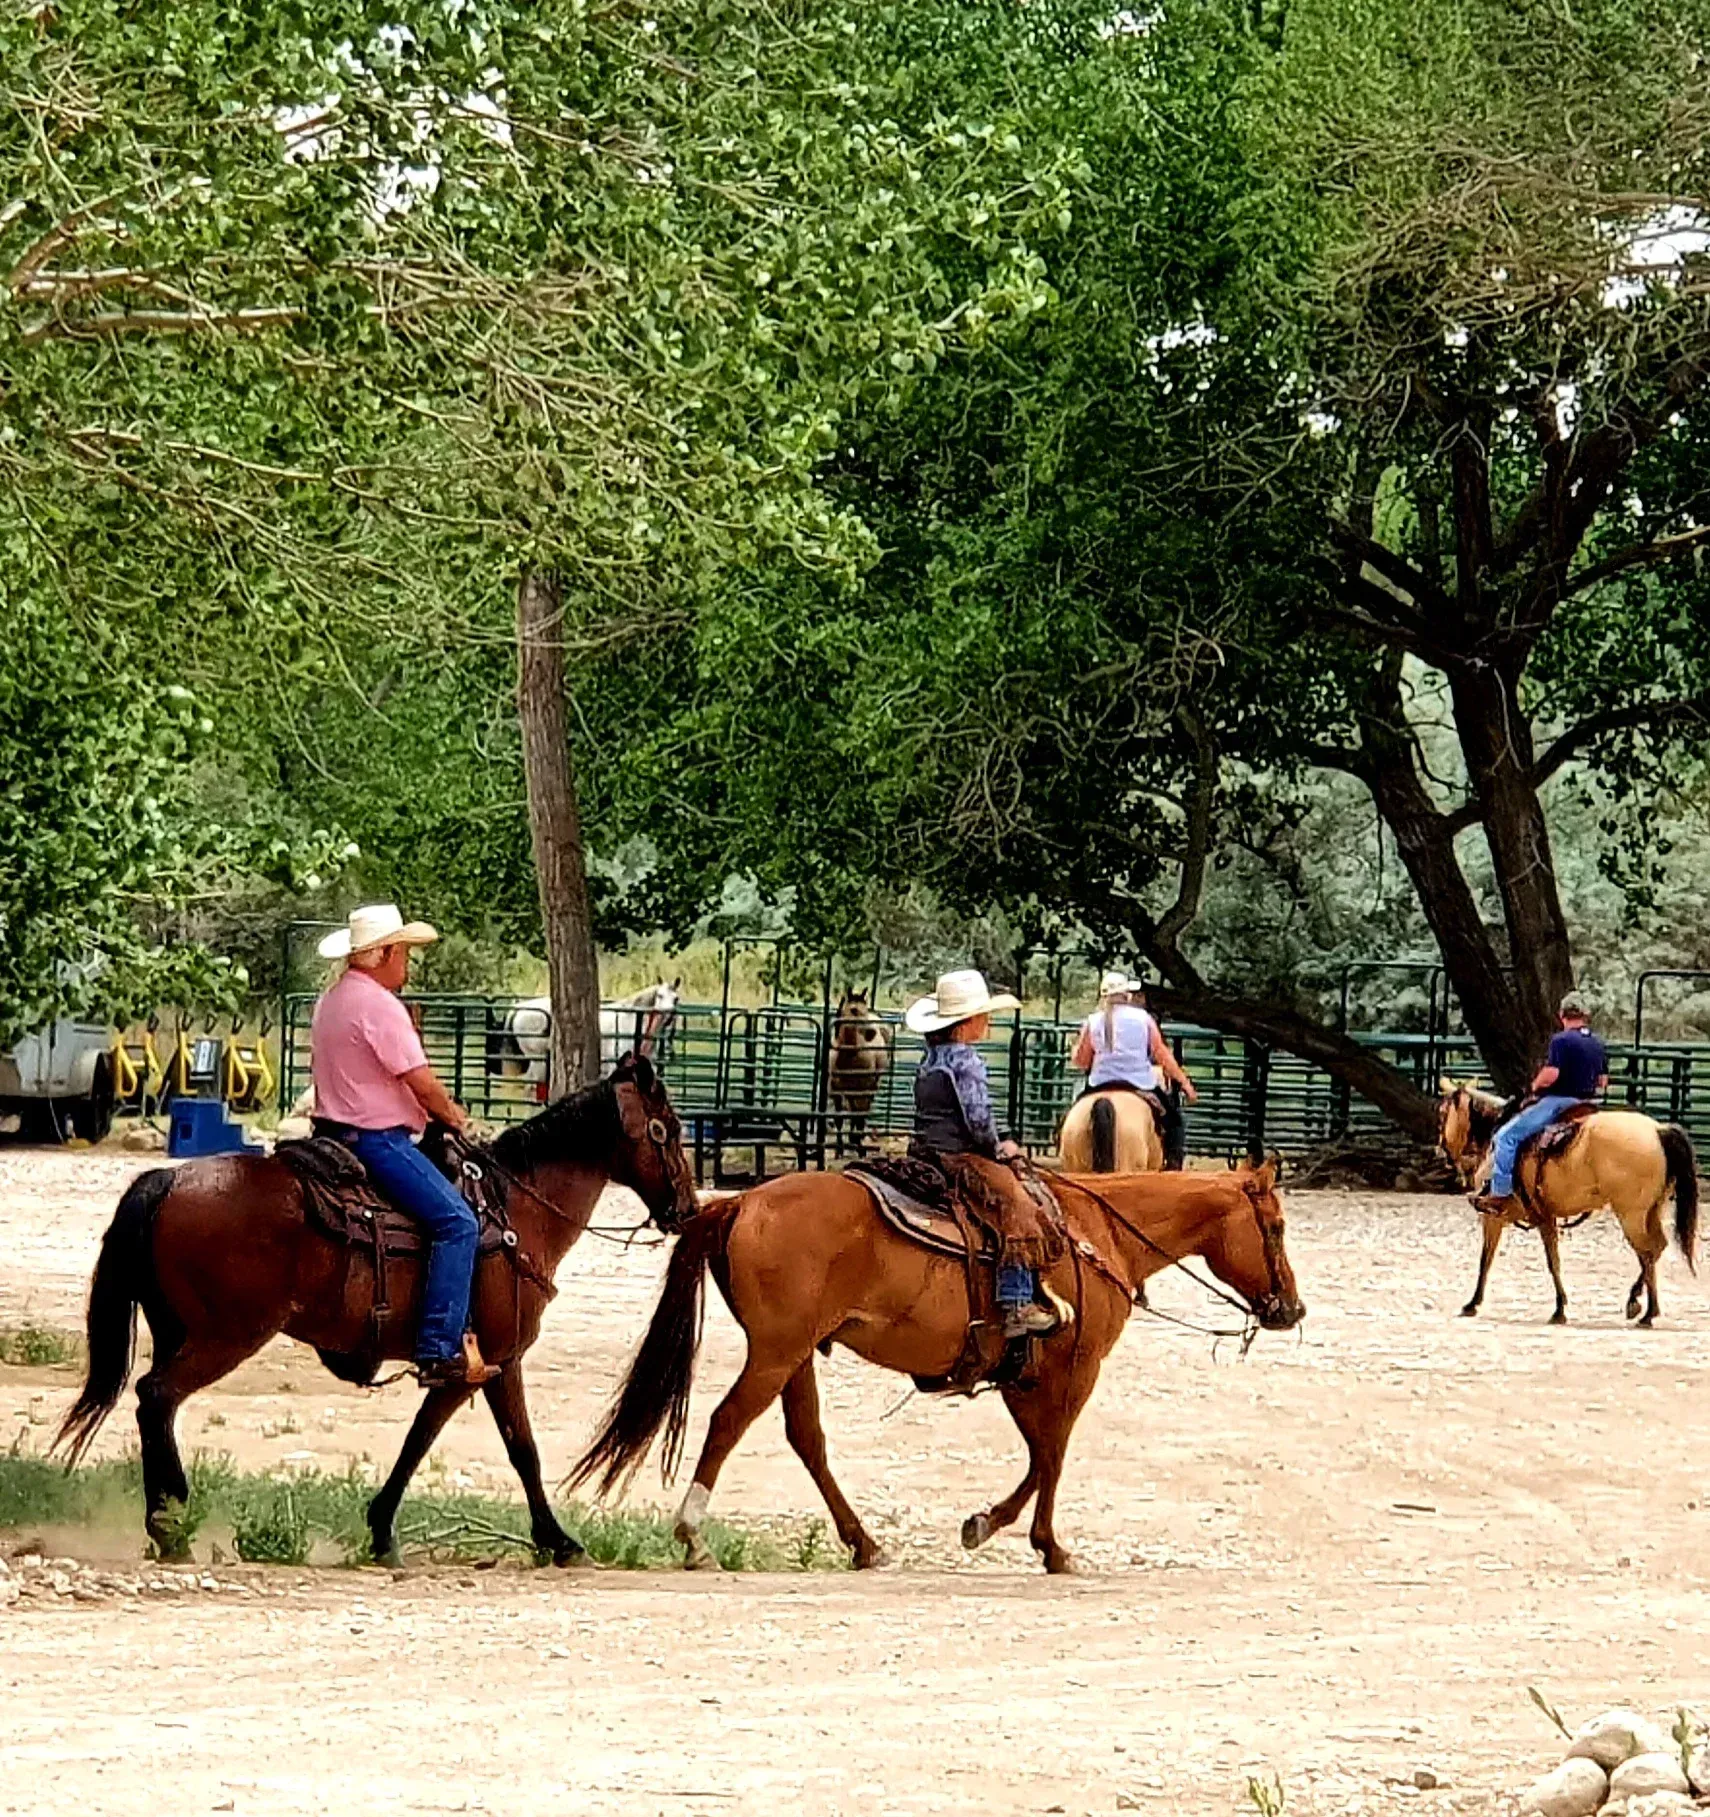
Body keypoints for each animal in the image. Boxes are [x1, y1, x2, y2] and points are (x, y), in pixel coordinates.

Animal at [56, 1053, 698, 1563]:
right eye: (666, 1130)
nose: (687, 1209)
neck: (516, 1211)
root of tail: (167, 1180)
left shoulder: (481, 1365)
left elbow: (466, 1443)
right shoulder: (486, 1361)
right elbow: (494, 1448)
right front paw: (554, 1541)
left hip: (176, 1330)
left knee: (156, 1408)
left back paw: (166, 1522)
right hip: (226, 1336)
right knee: (157, 1396)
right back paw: (171, 1529)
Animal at [489, 981, 682, 1090]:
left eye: (676, 998)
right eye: (659, 995)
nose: (670, 1014)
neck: (631, 1021)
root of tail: (517, 1008)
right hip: (538, 1061)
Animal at [571, 1158, 1303, 1575]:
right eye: (1275, 1227)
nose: (1290, 1307)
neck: (1098, 1233)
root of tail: (741, 1201)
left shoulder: (1021, 1373)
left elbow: (1041, 1454)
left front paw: (1004, 1529)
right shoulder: (1073, 1368)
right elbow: (1052, 1454)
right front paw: (1038, 1542)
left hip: (795, 1353)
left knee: (807, 1439)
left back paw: (864, 1544)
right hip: (775, 1351)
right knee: (727, 1421)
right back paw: (694, 1537)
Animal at [827, 990, 892, 1156]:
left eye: (865, 1009)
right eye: (854, 1010)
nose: (871, 1032)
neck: (848, 1056)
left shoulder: (863, 1089)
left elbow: (859, 1116)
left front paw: (859, 1145)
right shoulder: (835, 1091)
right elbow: (839, 1119)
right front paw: (839, 1148)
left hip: (870, 1087)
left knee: (861, 1112)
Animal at [1438, 1079, 1699, 1326]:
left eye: (1442, 1112)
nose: (1442, 1152)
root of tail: (1658, 1130)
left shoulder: (1493, 1216)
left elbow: (1489, 1259)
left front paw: (1472, 1304)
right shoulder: (1546, 1217)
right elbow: (1553, 1259)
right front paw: (1560, 1308)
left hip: (1630, 1214)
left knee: (1646, 1251)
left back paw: (1642, 1308)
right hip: (1652, 1209)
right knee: (1657, 1247)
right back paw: (1643, 1306)